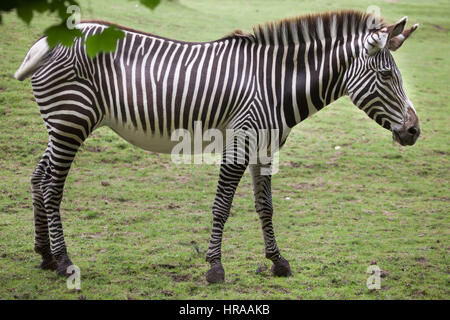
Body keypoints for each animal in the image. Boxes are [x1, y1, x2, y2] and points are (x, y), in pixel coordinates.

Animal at [14, 10, 422, 284]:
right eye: (387, 75)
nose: (415, 131)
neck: (276, 85)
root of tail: (44, 40)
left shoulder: (264, 148)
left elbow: (265, 207)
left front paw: (278, 262)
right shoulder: (240, 141)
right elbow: (222, 206)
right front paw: (214, 267)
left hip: (61, 125)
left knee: (37, 177)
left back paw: (45, 255)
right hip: (71, 122)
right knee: (51, 187)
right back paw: (63, 261)